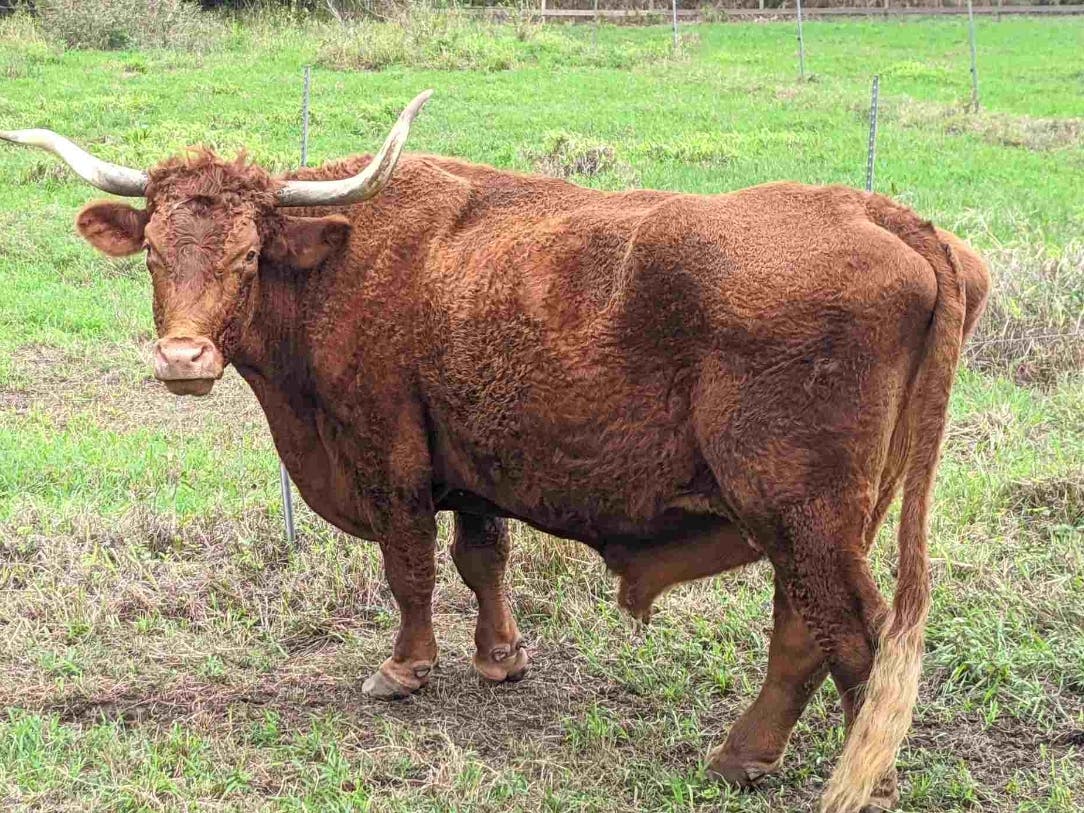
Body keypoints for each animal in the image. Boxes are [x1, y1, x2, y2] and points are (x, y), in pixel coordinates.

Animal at [2, 91, 989, 812]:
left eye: (248, 256)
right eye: (153, 252)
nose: (182, 360)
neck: (342, 263)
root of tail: (882, 212)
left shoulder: (389, 454)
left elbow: (409, 567)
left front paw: (405, 668)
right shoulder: (470, 462)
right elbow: (484, 558)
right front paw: (500, 657)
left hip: (800, 508)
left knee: (852, 634)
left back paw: (863, 779)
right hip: (818, 514)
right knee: (803, 629)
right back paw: (741, 757)